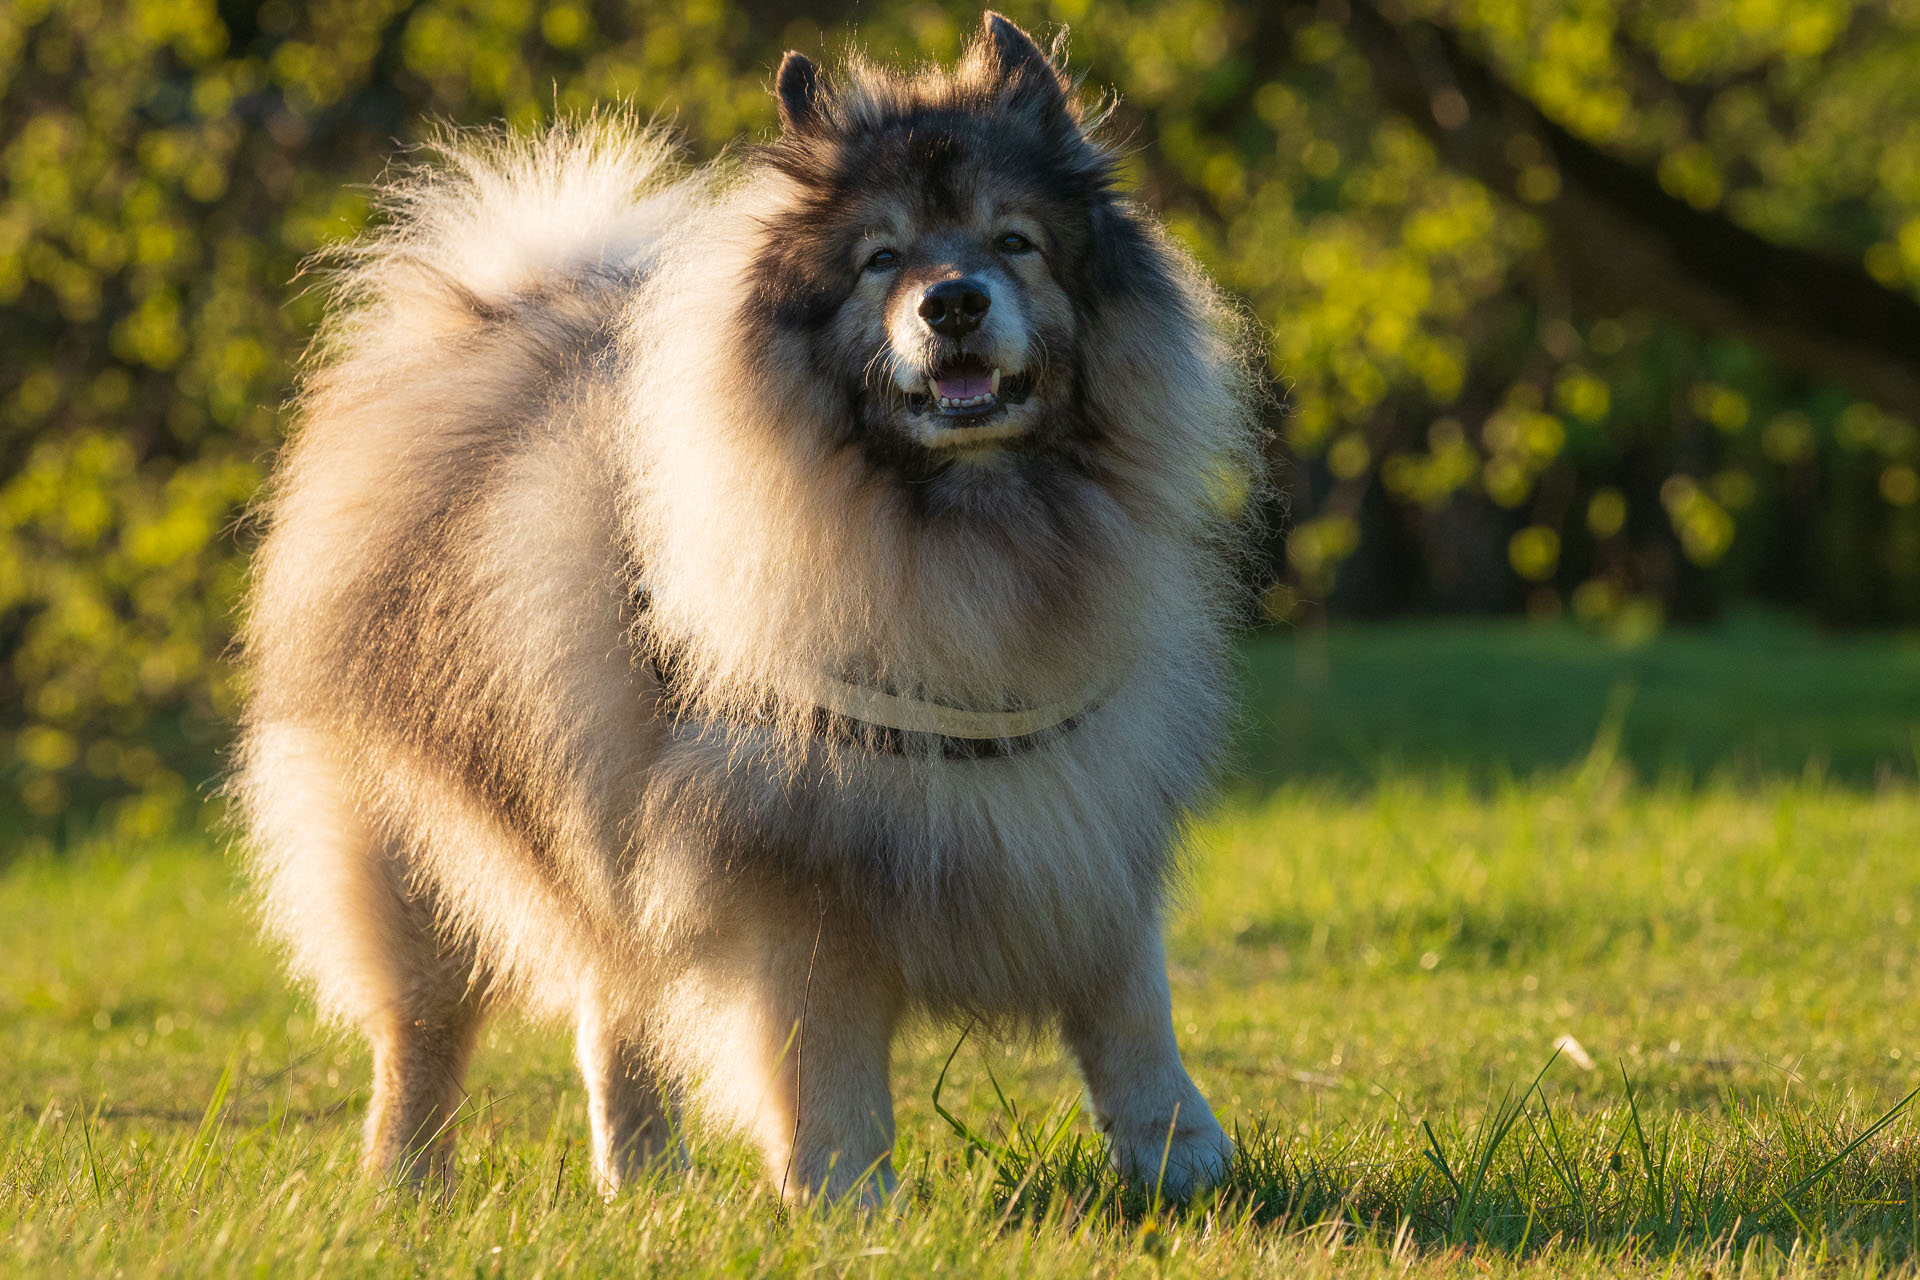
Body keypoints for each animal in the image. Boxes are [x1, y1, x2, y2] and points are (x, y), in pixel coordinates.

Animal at [232, 14, 1259, 1205]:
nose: (953, 301)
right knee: (424, 1034)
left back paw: (644, 1181)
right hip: (417, 855)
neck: (964, 533)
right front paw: (850, 1200)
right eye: (880, 260)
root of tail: (480, 324)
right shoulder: (799, 878)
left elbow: (1131, 1008)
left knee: (616, 1013)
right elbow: (829, 1063)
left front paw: (1182, 1160)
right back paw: (409, 1185)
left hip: (605, 828)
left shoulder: (1088, 819)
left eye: (1014, 243)